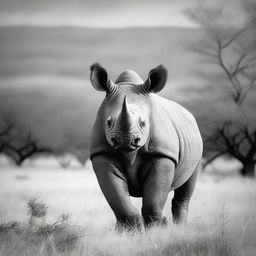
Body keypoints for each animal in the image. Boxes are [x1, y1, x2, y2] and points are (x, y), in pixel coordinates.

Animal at [89, 63, 203, 231]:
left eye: (143, 123)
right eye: (108, 122)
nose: (125, 140)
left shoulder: (163, 154)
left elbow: (152, 203)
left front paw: (158, 229)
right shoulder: (101, 154)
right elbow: (119, 202)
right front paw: (129, 232)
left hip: (197, 145)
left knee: (187, 186)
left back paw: (180, 228)